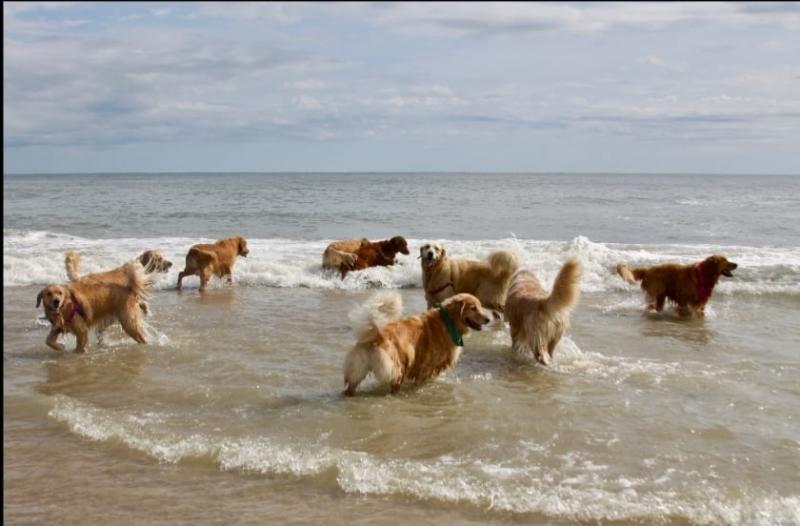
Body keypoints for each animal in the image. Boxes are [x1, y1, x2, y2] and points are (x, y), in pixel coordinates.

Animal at [340, 290, 490, 398]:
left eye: (480, 306)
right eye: (473, 308)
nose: (488, 319)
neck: (448, 321)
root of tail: (377, 336)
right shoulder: (427, 366)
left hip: (357, 369)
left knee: (351, 387)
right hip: (398, 367)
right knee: (394, 387)